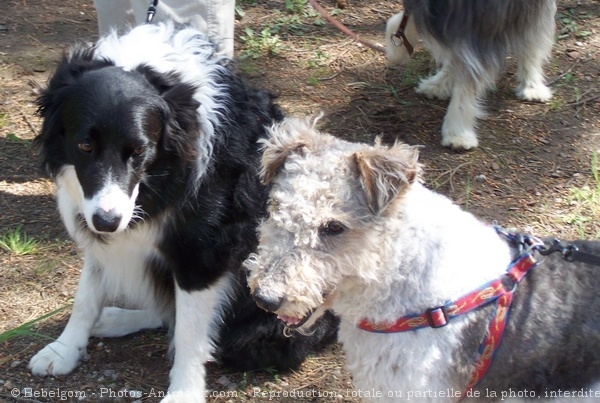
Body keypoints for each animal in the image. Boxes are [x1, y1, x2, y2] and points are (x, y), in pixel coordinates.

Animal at [29, 22, 338, 403]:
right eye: (85, 145)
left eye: (139, 150)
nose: (107, 222)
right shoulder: (99, 227)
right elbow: (85, 297)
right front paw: (63, 350)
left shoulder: (203, 253)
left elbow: (191, 333)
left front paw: (184, 392)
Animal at [386, 0, 556, 150]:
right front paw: (397, 48)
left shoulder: (479, 27)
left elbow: (467, 80)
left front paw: (457, 133)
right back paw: (438, 84)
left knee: (532, 39)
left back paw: (532, 86)